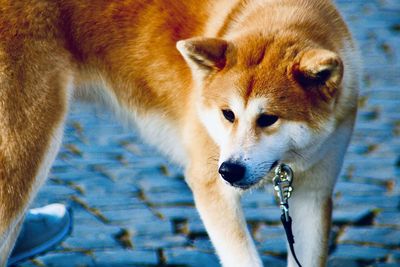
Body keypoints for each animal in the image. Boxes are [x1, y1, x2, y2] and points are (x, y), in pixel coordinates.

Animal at [0, 0, 360, 266]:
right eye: (227, 114)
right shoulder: (211, 186)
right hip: (25, 157)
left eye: (268, 119)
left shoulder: (312, 195)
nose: (229, 170)